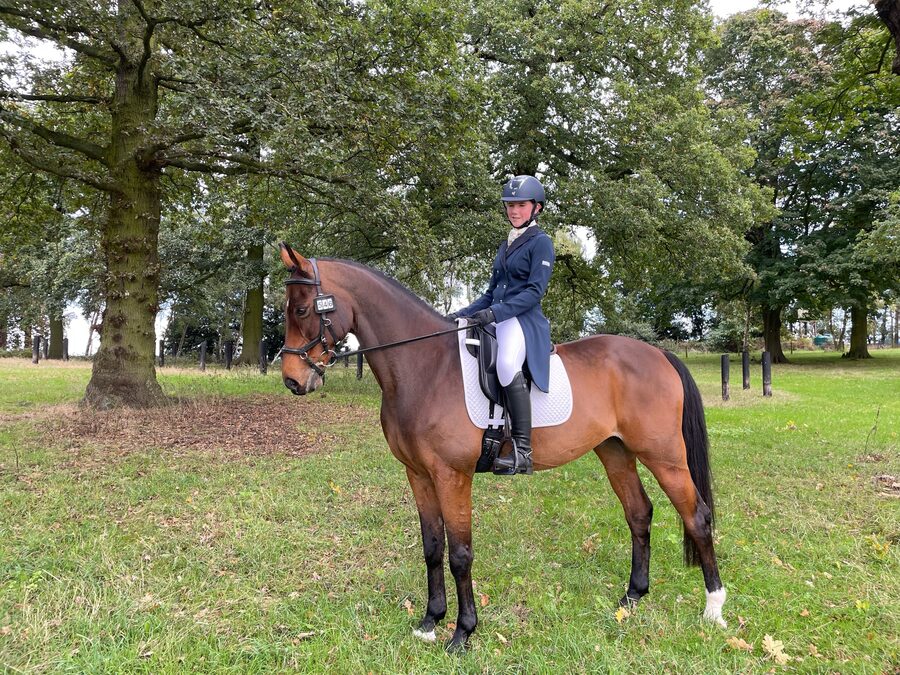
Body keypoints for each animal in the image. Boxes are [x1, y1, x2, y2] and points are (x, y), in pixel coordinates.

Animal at [278, 245, 726, 652]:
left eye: (301, 310)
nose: (292, 380)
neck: (425, 367)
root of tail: (659, 354)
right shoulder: (418, 474)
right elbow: (432, 547)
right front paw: (430, 621)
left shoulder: (452, 476)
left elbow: (460, 553)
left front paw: (462, 633)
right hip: (615, 452)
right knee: (638, 513)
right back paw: (632, 598)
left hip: (665, 456)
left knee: (697, 517)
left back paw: (714, 609)